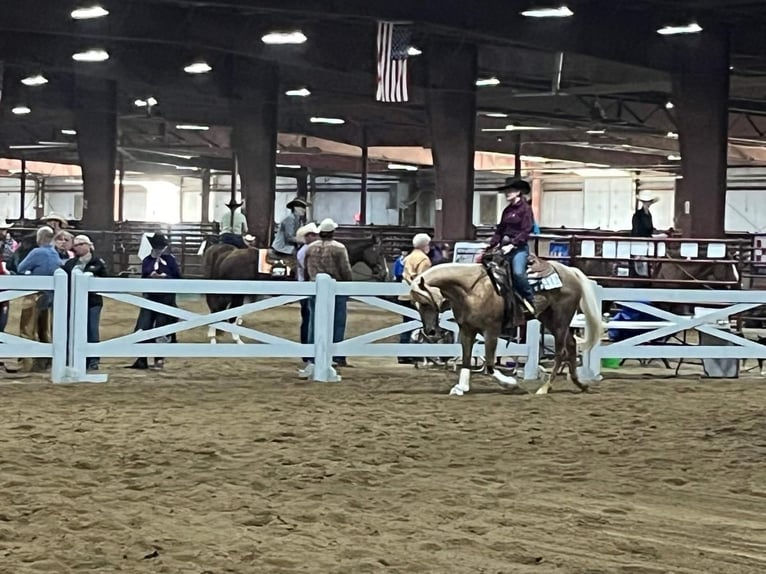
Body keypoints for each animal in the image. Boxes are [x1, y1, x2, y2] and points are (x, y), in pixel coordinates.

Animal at [201, 236, 390, 344]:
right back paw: (227, 338)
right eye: (379, 251)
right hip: (236, 293)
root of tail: (228, 254)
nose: (385, 273)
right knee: (224, 311)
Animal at [412, 258, 604, 398]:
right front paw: (461, 387)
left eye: (426, 302)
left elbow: (490, 365)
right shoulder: (467, 330)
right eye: (416, 305)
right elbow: (466, 360)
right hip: (548, 318)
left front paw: (510, 384)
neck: (471, 290)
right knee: (571, 345)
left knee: (561, 351)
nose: (430, 331)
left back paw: (545, 387)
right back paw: (580, 384)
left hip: (561, 320)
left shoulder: (491, 331)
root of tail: (570, 271)